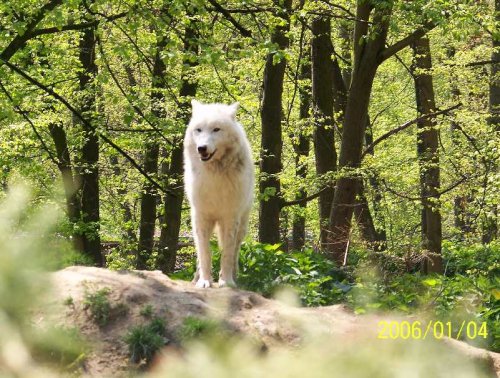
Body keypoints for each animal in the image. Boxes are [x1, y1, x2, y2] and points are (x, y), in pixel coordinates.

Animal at [184, 99, 254, 288]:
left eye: (216, 129)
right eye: (199, 130)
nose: (201, 148)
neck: (215, 176)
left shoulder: (230, 217)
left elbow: (227, 254)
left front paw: (226, 282)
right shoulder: (201, 216)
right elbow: (204, 253)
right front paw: (204, 281)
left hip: (241, 225)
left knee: (235, 250)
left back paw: (235, 276)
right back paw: (196, 278)